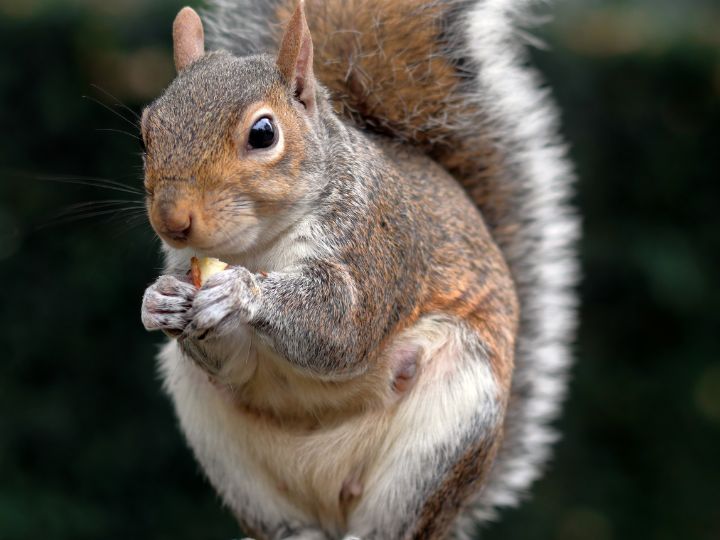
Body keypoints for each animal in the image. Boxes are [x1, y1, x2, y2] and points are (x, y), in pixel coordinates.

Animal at [139, 1, 580, 540]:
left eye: (263, 133)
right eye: (146, 131)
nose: (172, 220)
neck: (259, 247)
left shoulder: (377, 244)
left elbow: (344, 328)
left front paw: (242, 293)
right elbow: (233, 361)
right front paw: (158, 301)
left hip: (444, 435)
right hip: (230, 457)